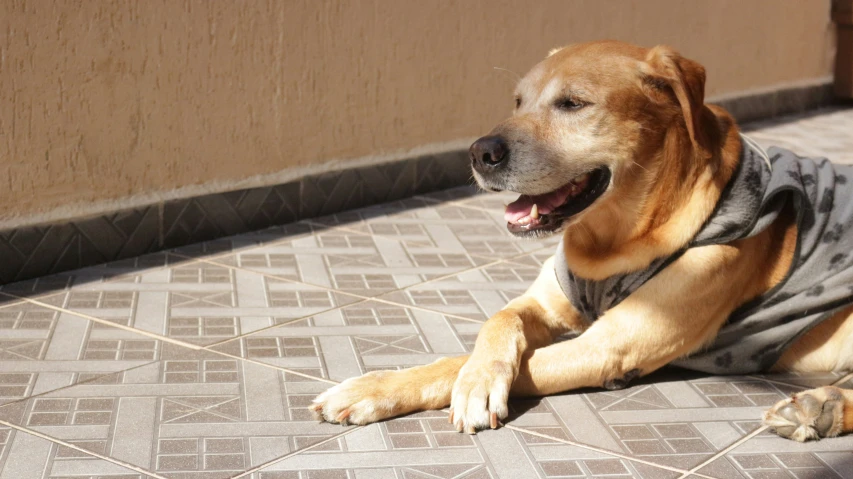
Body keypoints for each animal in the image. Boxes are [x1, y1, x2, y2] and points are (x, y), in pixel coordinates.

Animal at [312, 40, 852, 442]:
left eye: (572, 103)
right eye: (517, 101)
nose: (479, 152)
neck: (609, 243)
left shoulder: (611, 345)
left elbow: (466, 365)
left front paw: (456, 386)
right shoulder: (544, 301)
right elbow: (495, 323)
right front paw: (455, 377)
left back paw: (821, 408)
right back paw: (818, 407)